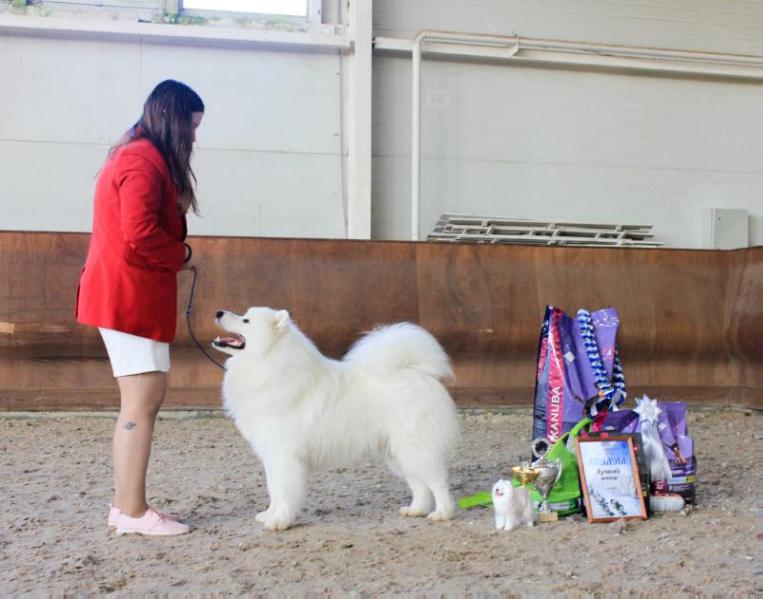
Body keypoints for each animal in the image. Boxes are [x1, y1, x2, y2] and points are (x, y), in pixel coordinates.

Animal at [212, 308, 460, 532]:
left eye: (246, 320)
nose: (218, 312)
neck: (269, 364)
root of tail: (419, 372)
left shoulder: (284, 457)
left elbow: (284, 492)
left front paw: (279, 521)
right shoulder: (271, 456)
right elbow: (274, 490)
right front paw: (269, 515)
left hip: (416, 447)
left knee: (437, 482)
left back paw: (442, 513)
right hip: (398, 453)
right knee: (419, 484)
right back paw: (416, 509)